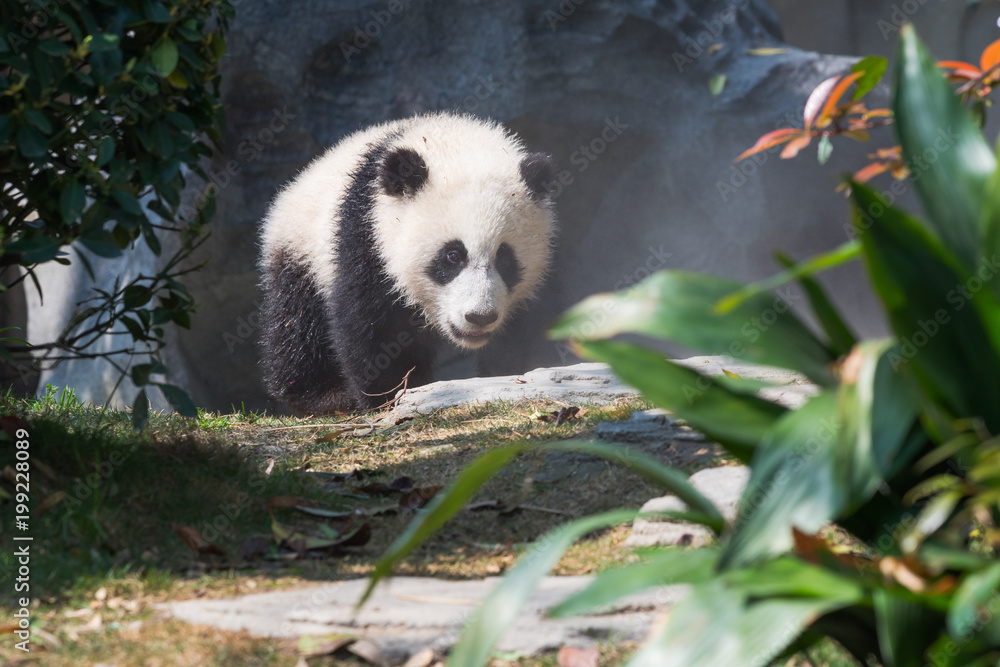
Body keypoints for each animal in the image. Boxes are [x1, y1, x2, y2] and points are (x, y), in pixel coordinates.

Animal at [258, 112, 557, 415]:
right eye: (453, 256)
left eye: (505, 259)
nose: (479, 316)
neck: (452, 144)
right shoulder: (368, 238)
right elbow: (372, 325)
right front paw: (387, 396)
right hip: (300, 248)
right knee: (297, 323)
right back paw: (323, 394)